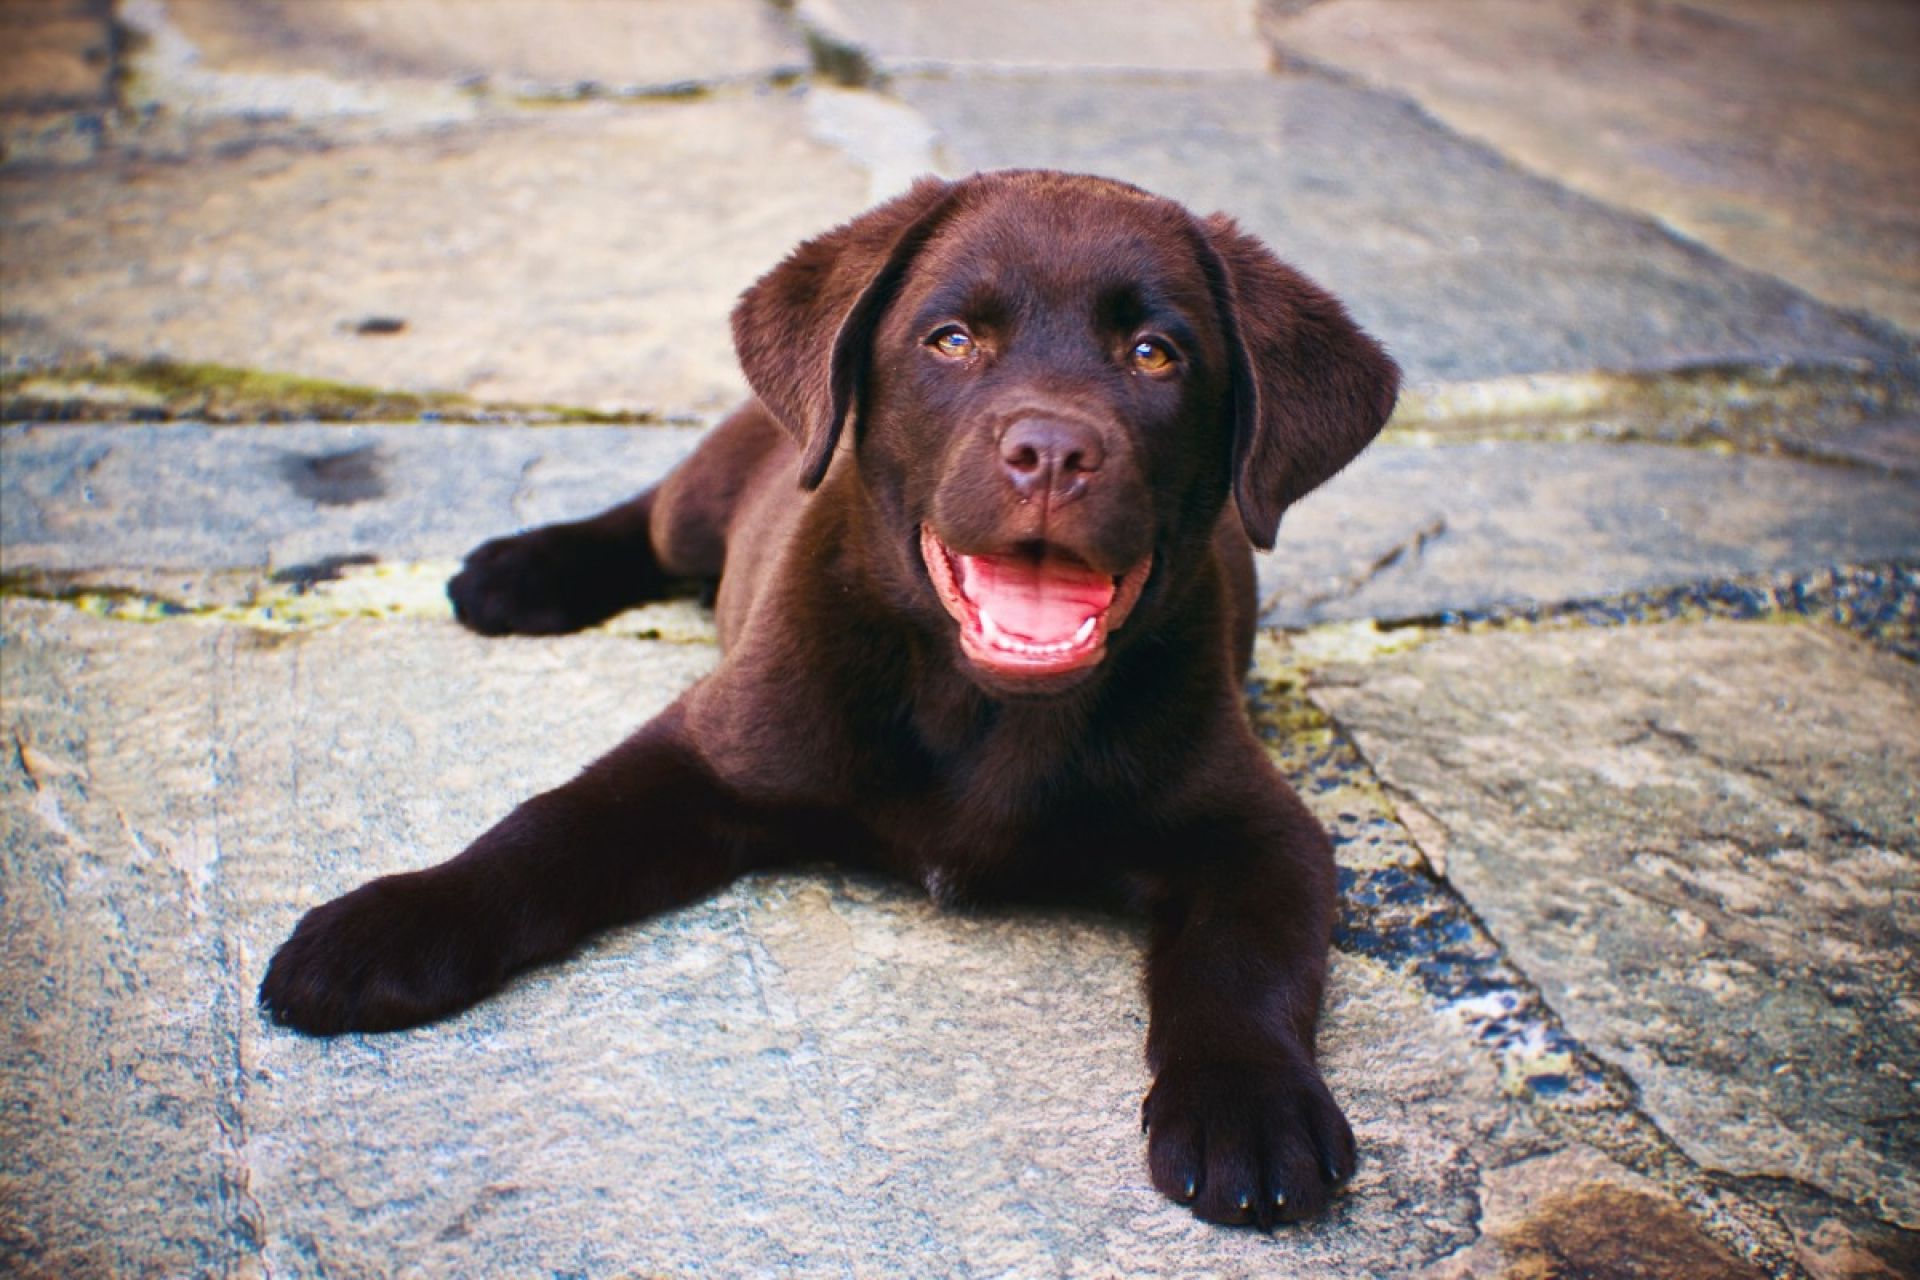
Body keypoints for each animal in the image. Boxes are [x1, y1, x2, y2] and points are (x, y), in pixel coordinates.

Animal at [255, 172, 1397, 1228]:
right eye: (951, 339)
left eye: (1156, 354)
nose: (1051, 453)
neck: (987, 709)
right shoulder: (704, 750)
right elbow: (542, 831)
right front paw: (392, 923)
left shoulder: (1259, 827)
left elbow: (1243, 961)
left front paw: (1251, 1106)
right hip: (706, 496)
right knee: (649, 516)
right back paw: (521, 571)